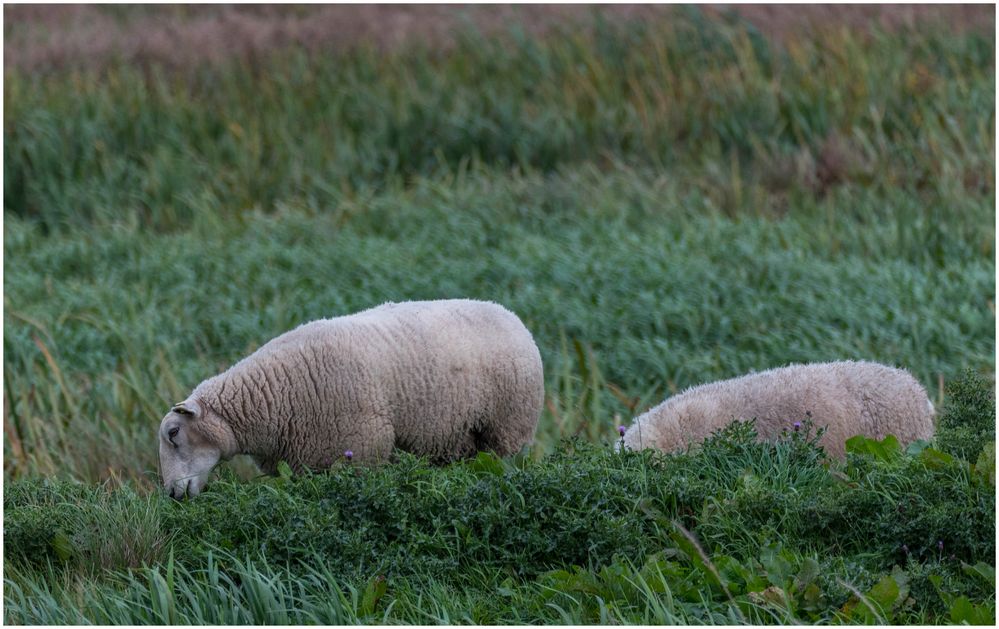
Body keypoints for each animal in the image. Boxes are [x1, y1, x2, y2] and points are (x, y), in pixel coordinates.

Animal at [158, 296, 548, 498]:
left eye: (174, 433)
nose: (172, 494)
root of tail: (511, 315)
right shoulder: (303, 464)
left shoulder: (360, 449)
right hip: (457, 439)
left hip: (506, 429)